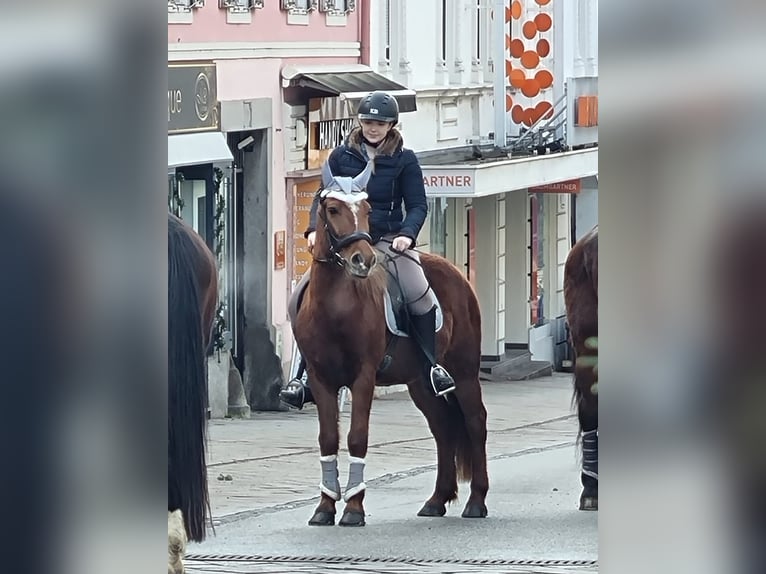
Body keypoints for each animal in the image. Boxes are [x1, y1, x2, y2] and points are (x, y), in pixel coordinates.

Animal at [294, 161, 492, 528]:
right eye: (333, 209)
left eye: (367, 209)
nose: (362, 260)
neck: (336, 307)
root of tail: (456, 273)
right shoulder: (320, 377)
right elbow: (328, 439)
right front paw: (325, 507)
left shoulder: (363, 377)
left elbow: (357, 436)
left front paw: (354, 508)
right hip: (420, 383)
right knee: (443, 428)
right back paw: (436, 500)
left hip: (464, 372)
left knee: (475, 422)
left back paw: (476, 501)